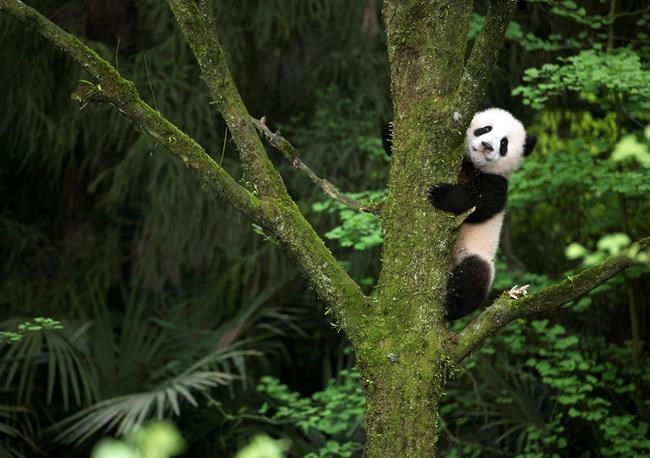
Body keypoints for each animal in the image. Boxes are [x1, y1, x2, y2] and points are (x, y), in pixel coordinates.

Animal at [382, 108, 536, 319]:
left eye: (504, 143)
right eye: (486, 129)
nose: (487, 146)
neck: (473, 165)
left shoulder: (497, 183)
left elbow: (481, 204)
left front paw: (441, 194)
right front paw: (390, 131)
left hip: (475, 255)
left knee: (473, 278)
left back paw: (451, 305)